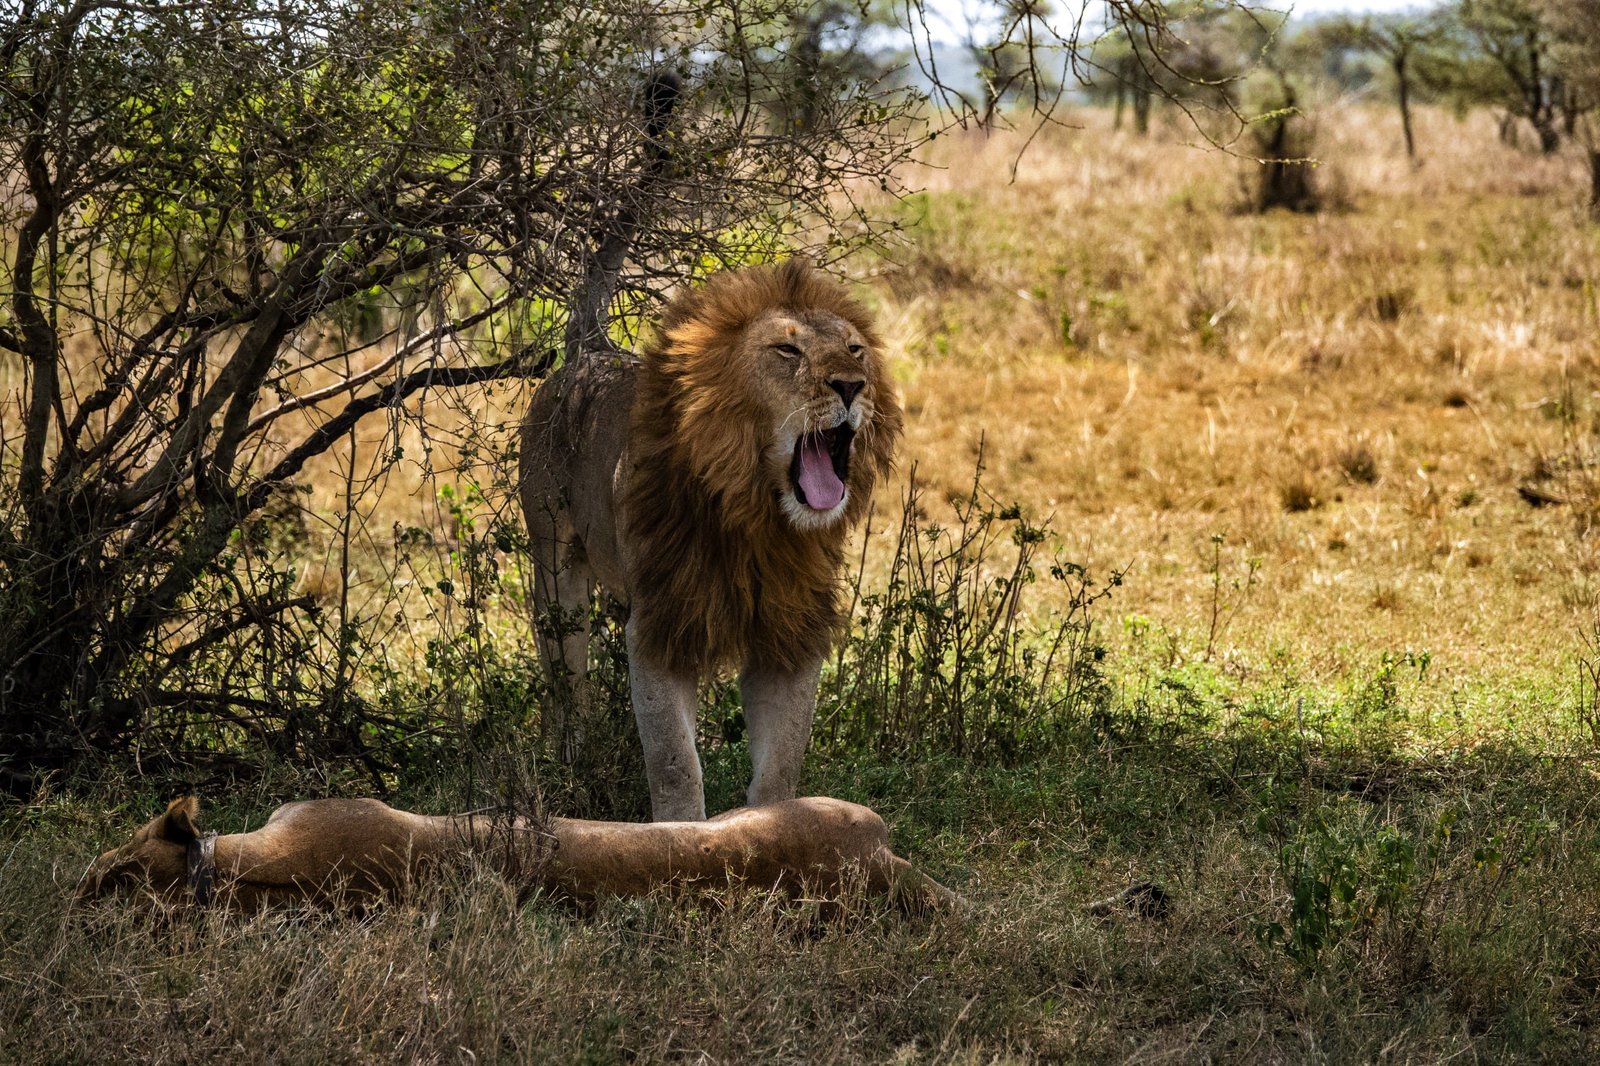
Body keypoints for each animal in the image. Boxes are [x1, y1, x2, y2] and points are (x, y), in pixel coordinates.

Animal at [524, 260, 902, 816]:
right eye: (787, 351)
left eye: (855, 349)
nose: (852, 386)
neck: (758, 517)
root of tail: (589, 352)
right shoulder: (662, 624)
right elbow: (673, 760)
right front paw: (681, 830)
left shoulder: (788, 632)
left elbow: (782, 760)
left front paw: (774, 825)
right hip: (555, 571)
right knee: (566, 679)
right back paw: (573, 762)